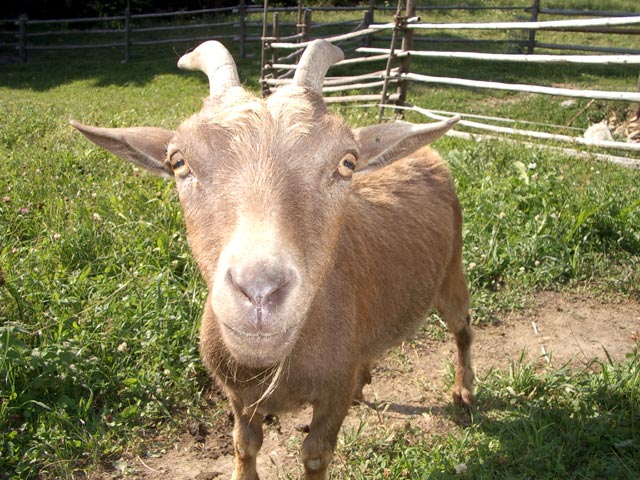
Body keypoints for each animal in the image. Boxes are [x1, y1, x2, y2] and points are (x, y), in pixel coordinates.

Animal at [71, 40, 473, 480]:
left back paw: (464, 391)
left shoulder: (331, 394)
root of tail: (429, 153)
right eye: (178, 162)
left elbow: (315, 454)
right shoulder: (238, 394)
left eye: (347, 162)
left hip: (452, 271)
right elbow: (244, 444)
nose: (260, 291)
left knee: (463, 328)